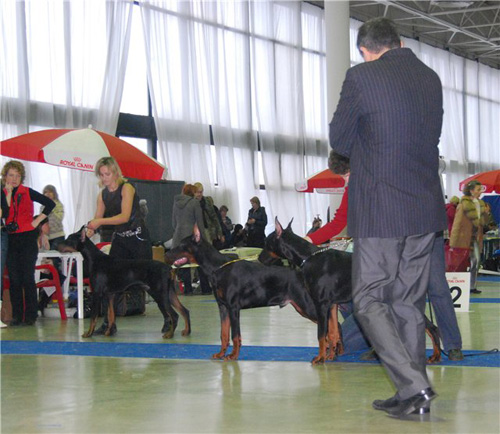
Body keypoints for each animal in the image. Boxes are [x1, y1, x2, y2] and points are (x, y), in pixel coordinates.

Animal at [59, 227, 191, 339]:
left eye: (69, 240)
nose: (57, 245)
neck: (95, 259)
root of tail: (169, 268)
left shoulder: (97, 294)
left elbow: (93, 317)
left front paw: (88, 333)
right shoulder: (110, 295)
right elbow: (111, 315)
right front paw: (108, 332)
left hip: (160, 294)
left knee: (174, 315)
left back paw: (169, 334)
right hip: (169, 293)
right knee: (184, 311)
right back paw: (186, 331)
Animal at [164, 225, 318, 361]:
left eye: (181, 245)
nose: (165, 254)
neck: (217, 267)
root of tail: (302, 273)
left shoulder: (233, 308)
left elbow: (235, 335)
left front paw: (233, 355)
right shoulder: (223, 307)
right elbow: (224, 334)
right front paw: (221, 354)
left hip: (307, 306)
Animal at [265, 218, 442, 364]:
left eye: (266, 241)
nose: (260, 257)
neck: (309, 256)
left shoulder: (321, 304)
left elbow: (321, 334)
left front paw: (320, 358)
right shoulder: (332, 305)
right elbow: (333, 332)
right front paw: (331, 355)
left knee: (431, 327)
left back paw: (435, 355)